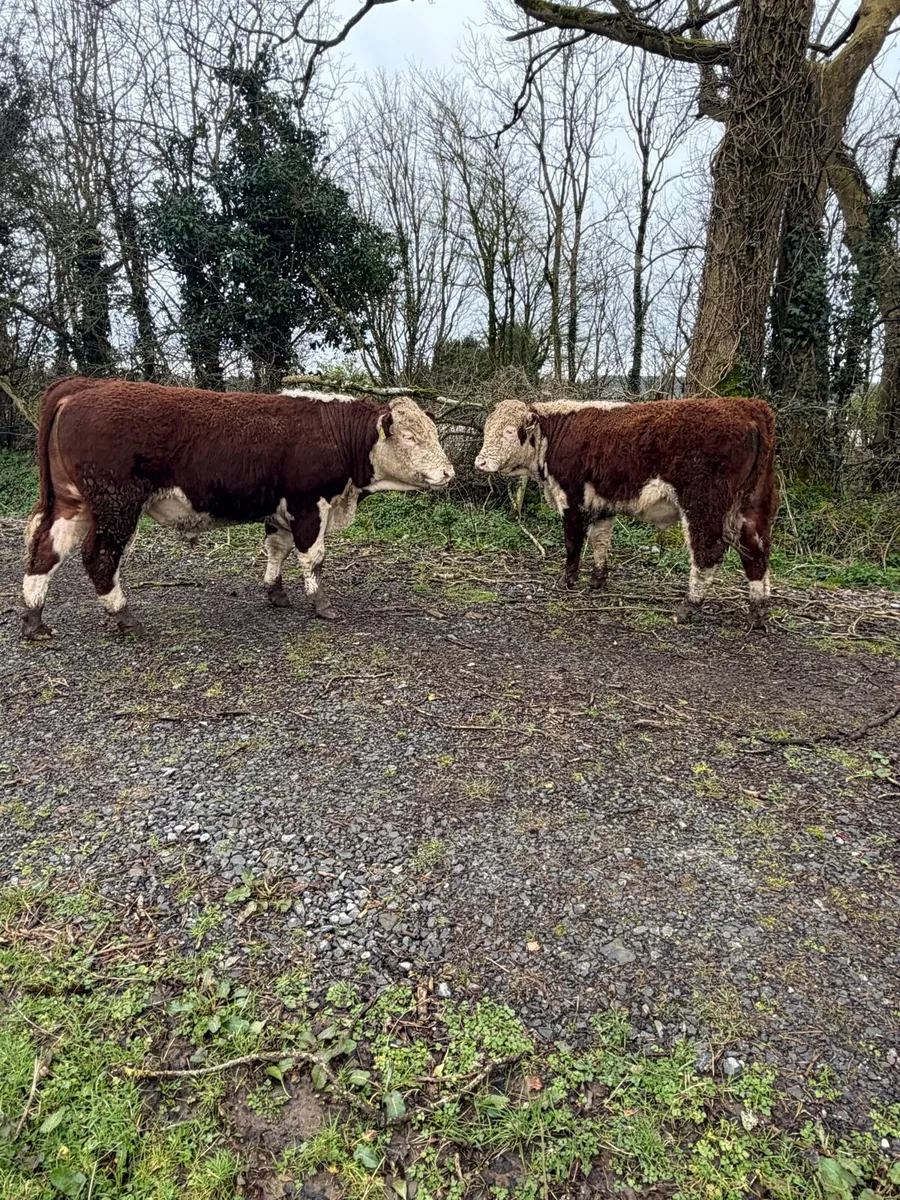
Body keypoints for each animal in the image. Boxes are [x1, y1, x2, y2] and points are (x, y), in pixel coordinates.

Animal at [21, 377, 454, 639]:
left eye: (435, 433)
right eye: (411, 437)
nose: (449, 472)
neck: (335, 432)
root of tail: (85, 385)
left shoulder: (281, 509)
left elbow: (277, 550)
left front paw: (276, 593)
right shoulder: (308, 504)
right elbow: (313, 557)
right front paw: (322, 605)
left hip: (72, 503)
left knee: (46, 549)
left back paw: (34, 619)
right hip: (116, 505)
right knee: (99, 556)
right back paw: (124, 616)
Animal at [475, 395, 776, 629]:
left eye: (509, 431)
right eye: (487, 430)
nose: (480, 462)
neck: (556, 432)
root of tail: (749, 406)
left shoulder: (570, 496)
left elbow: (573, 543)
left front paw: (566, 580)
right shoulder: (602, 503)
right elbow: (600, 540)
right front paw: (597, 580)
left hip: (704, 503)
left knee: (708, 552)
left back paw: (687, 607)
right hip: (752, 505)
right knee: (756, 550)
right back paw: (757, 613)